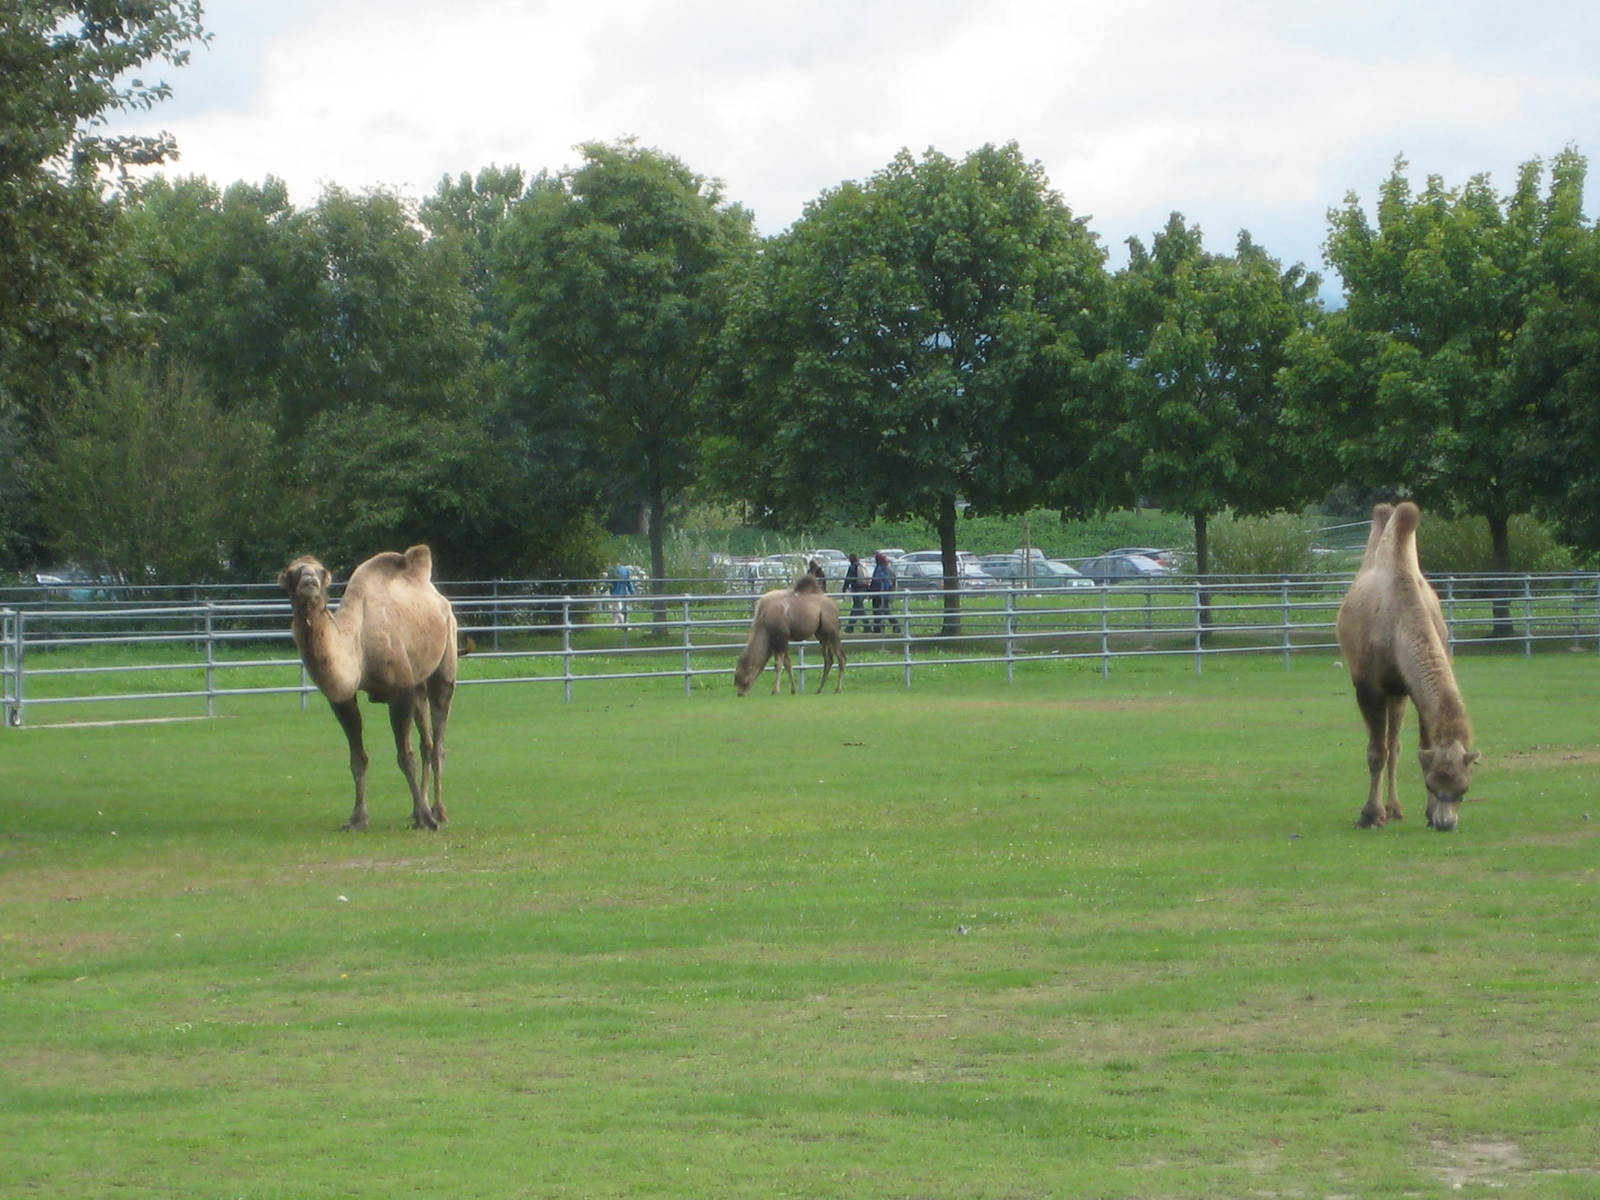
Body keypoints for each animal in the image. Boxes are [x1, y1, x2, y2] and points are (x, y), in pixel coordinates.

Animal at [280, 545, 459, 831]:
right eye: (291, 571)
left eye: (322, 571)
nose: (309, 582)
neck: (359, 647)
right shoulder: (342, 700)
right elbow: (358, 758)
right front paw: (357, 819)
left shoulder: (400, 691)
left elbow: (405, 757)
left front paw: (425, 818)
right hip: (418, 682)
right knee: (427, 742)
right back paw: (418, 809)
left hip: (445, 661)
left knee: (438, 741)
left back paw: (438, 812)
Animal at [1336, 502, 1479, 831]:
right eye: (1431, 784)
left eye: (1463, 789)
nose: (1445, 823)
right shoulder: (1369, 686)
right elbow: (1375, 752)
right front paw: (1369, 815)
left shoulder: (1409, 688)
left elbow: (1420, 746)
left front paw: (1424, 812)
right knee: (1385, 747)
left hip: (1397, 694)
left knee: (1396, 745)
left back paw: (1396, 809)